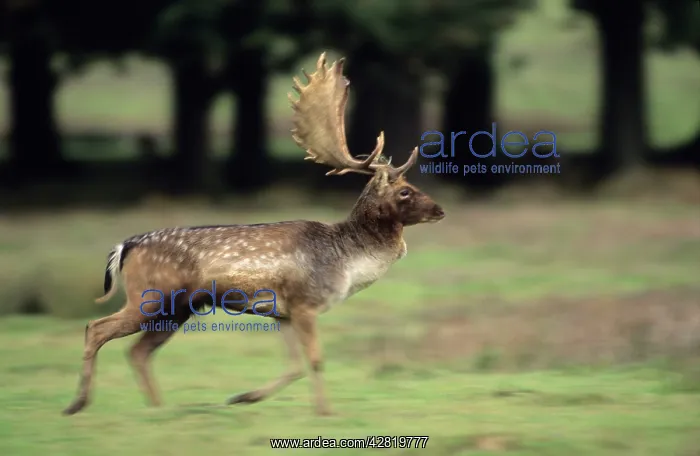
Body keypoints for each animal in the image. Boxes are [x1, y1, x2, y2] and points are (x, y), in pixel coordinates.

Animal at [62, 52, 445, 417]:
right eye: (405, 192)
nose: (440, 210)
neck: (345, 260)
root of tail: (124, 246)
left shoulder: (282, 312)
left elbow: (294, 366)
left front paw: (243, 397)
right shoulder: (305, 303)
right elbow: (315, 360)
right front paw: (325, 411)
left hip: (178, 308)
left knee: (138, 351)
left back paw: (158, 408)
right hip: (150, 296)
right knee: (96, 328)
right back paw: (77, 404)